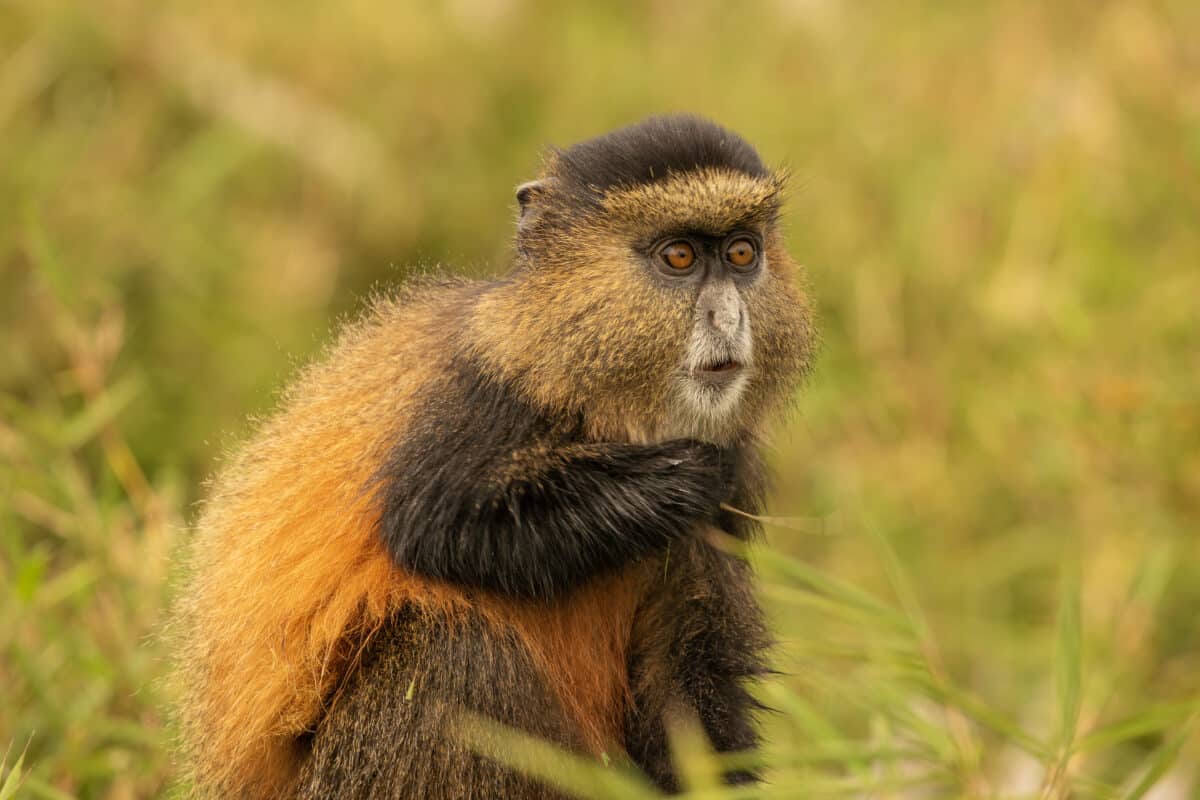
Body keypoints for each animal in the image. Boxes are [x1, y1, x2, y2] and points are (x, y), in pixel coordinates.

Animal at [175, 114, 815, 799]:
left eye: (742, 254)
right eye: (680, 257)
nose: (728, 318)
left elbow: (693, 667)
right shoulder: (481, 398)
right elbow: (433, 527)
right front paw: (678, 478)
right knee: (453, 648)